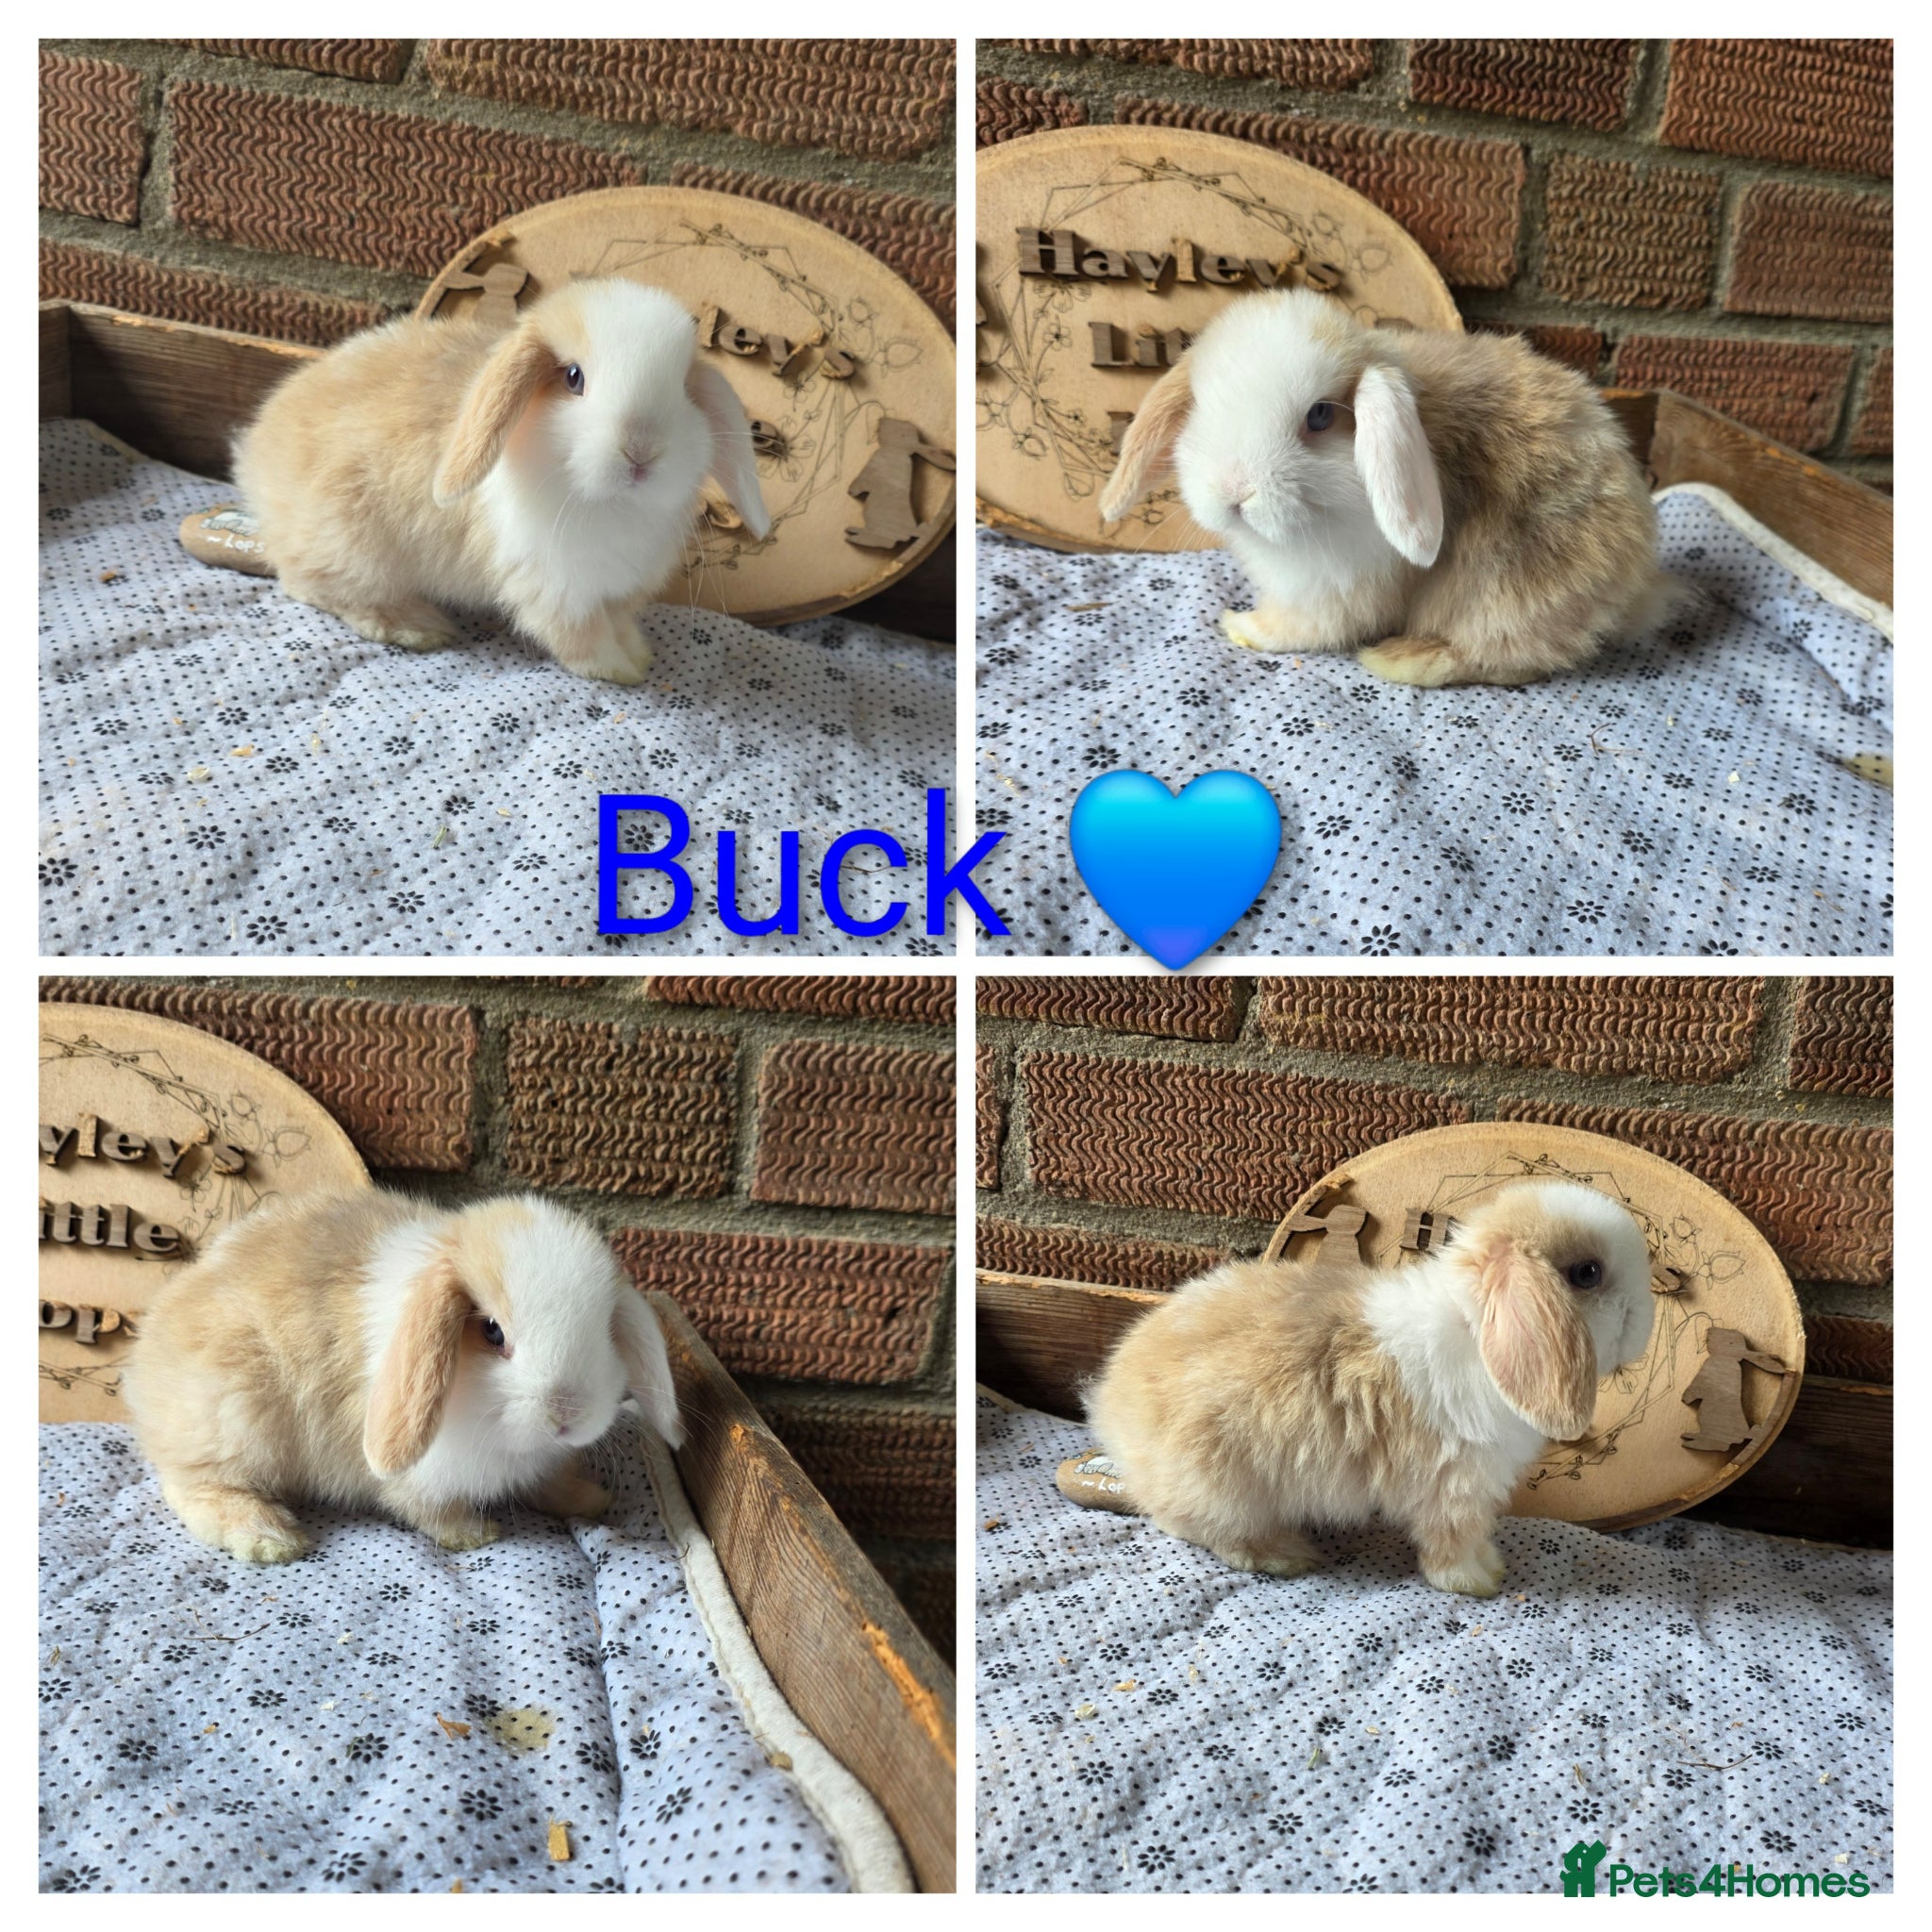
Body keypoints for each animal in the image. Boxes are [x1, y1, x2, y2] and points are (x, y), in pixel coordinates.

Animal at [122, 1190, 683, 1564]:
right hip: (234, 1421)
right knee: (192, 1487)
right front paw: (473, 1534)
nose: (566, 1412)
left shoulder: (540, 1465)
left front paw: (592, 1499)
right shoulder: (421, 1477)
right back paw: (269, 1537)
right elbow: (428, 1511)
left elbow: (552, 1486)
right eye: (493, 1331)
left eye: (606, 1327)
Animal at [232, 277, 771, 684]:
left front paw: (638, 654)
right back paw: (416, 626)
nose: (642, 451)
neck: (607, 503)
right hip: (350, 548)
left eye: (684, 388)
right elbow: (580, 637)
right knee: (311, 584)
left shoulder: (617, 589)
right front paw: (618, 670)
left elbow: (618, 623)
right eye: (573, 377)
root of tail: (255, 450)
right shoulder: (557, 589)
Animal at [1084, 1180, 1656, 1596]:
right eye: (1588, 1272)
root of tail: (1110, 1406)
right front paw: (1476, 1582)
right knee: (1195, 1527)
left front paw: (1493, 1565)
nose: (1647, 1323)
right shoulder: (1456, 1486)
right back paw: (1285, 1554)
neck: (1475, 1329)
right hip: (1223, 1487)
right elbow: (1453, 1540)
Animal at [1098, 288, 1675, 687]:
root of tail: (1637, 582)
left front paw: (1240, 625)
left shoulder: (1337, 591)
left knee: (1507, 657)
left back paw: (1402, 659)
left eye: (1320, 415)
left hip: (1509, 595)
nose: (1234, 493)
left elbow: (1298, 629)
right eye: (1200, 406)